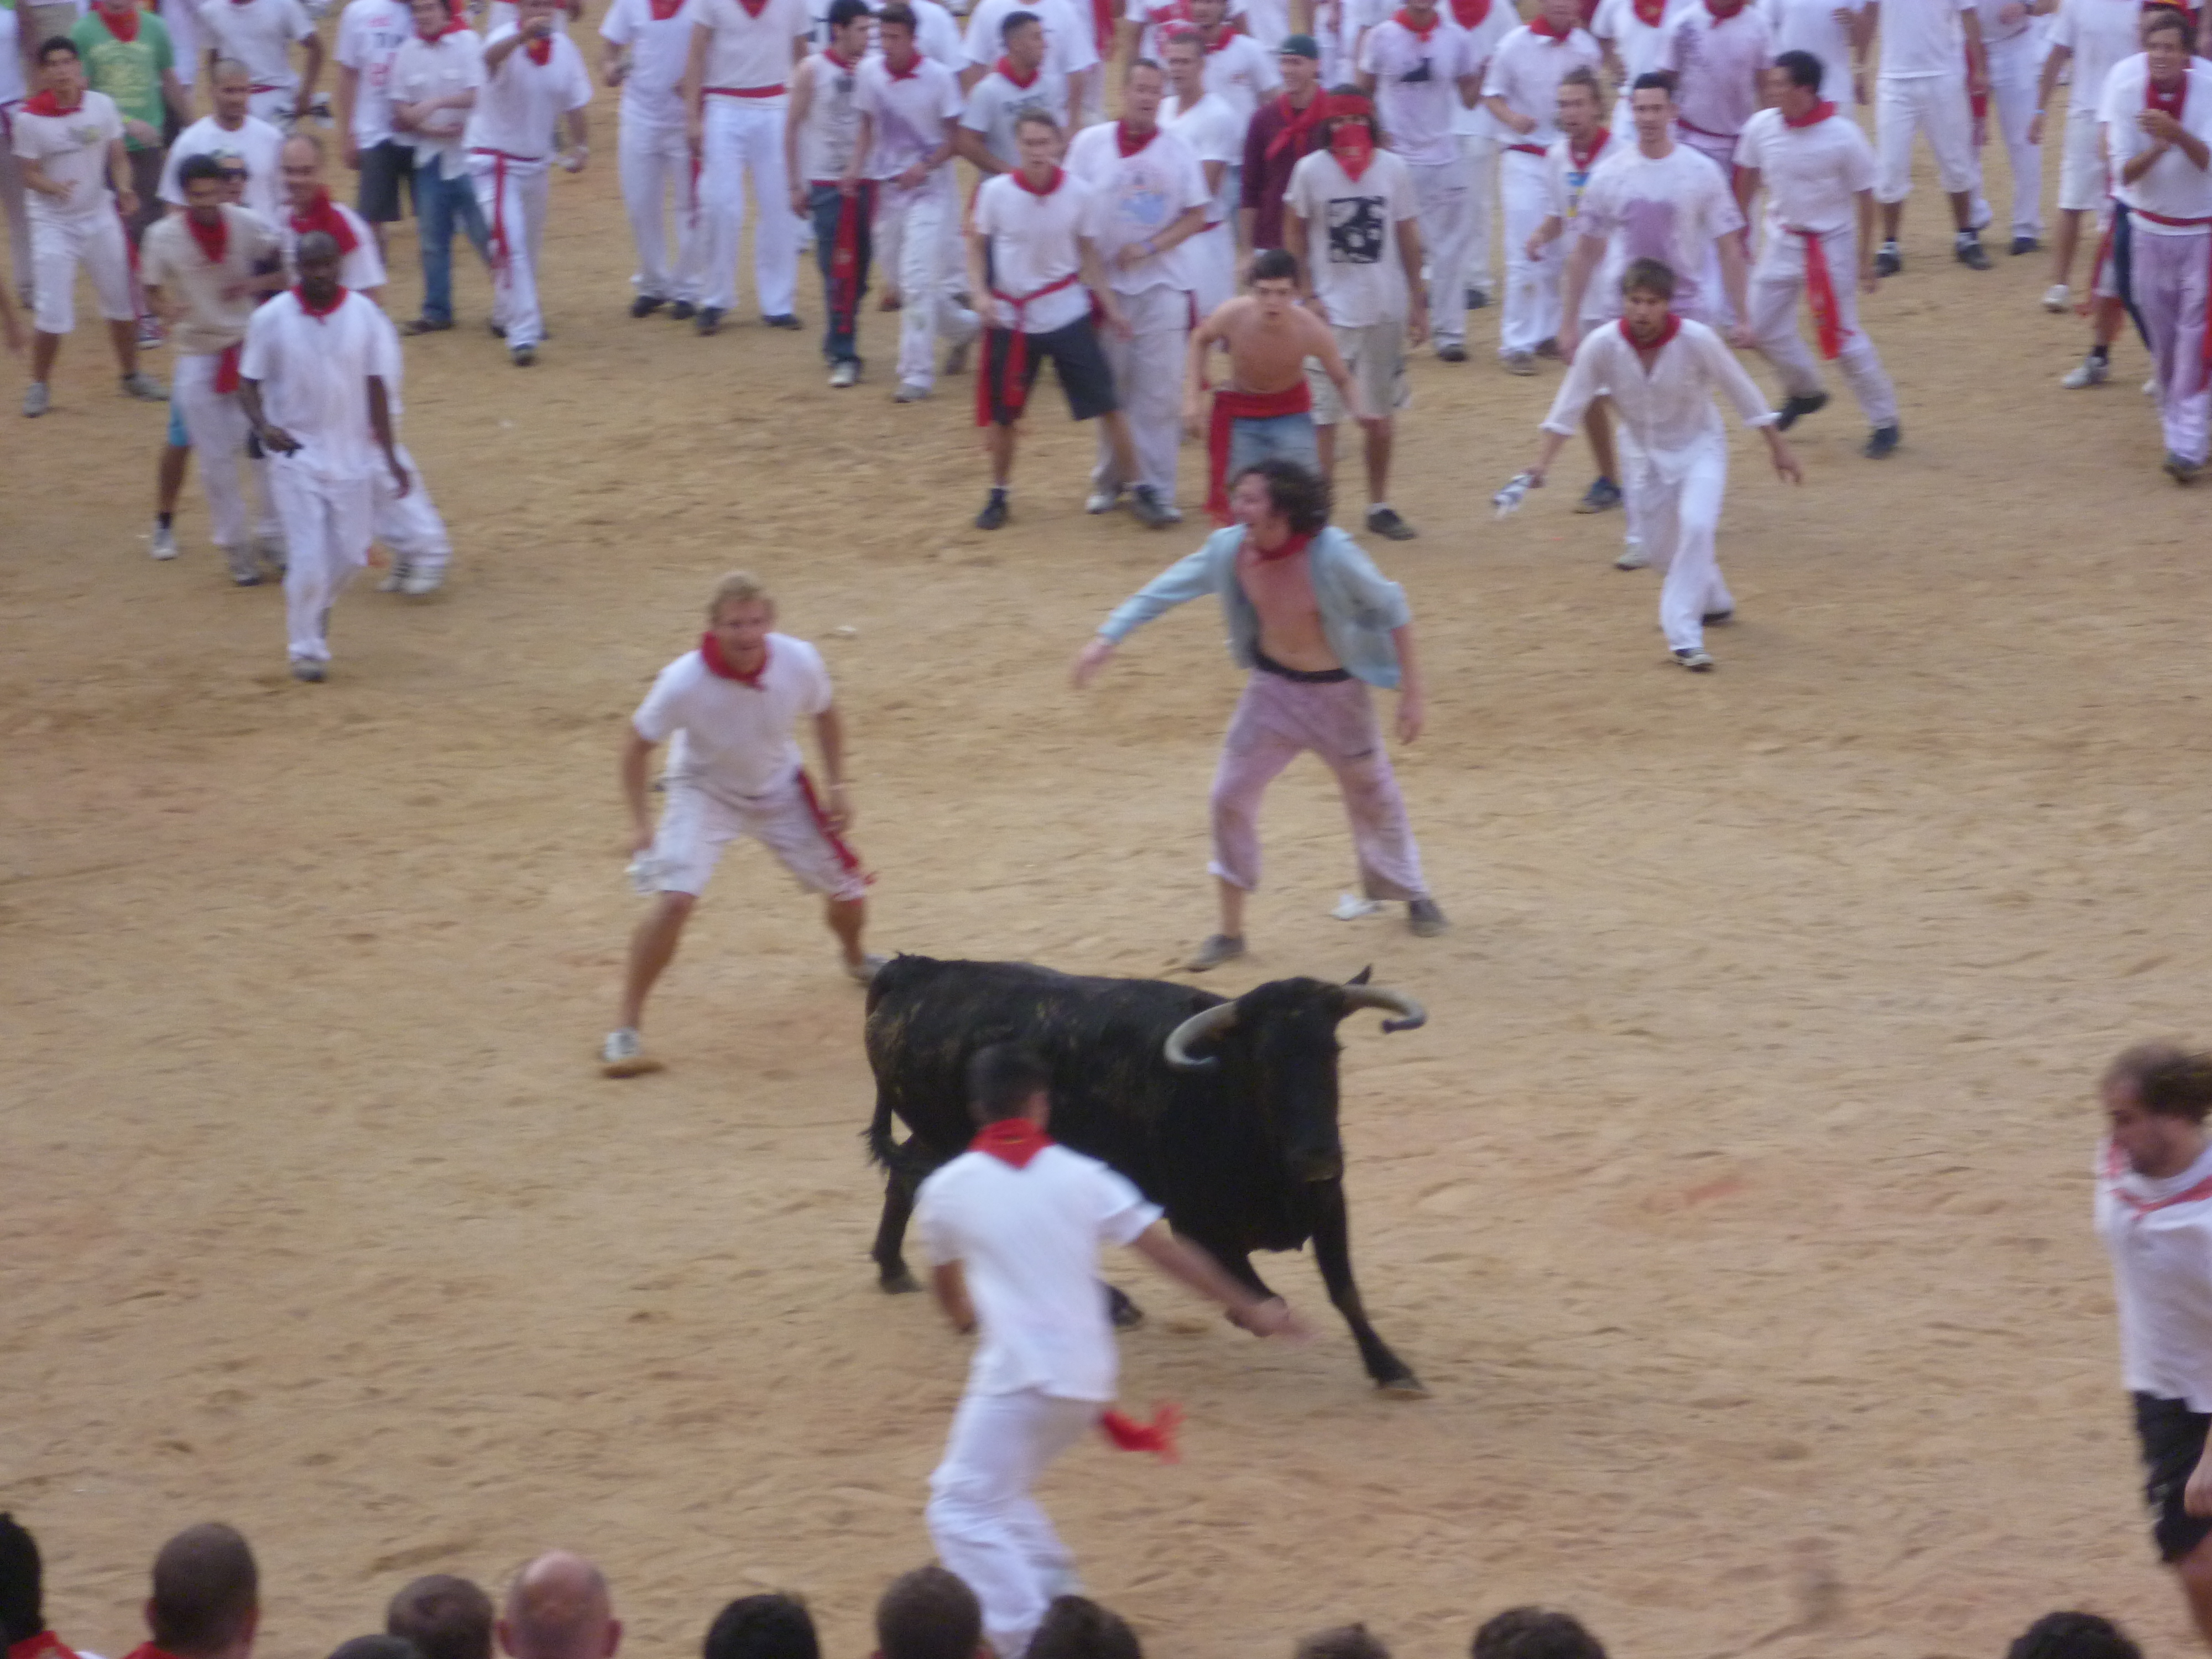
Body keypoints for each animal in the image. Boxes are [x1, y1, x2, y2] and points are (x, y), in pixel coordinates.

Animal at [862, 953, 1429, 1395]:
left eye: (1332, 1052)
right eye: (1263, 1063)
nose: (1318, 1159)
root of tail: (916, 972)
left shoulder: (1329, 1204)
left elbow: (1345, 1292)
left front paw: (1391, 1369)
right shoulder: (1199, 1229)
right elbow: (1270, 1301)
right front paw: (1244, 1313)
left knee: (907, 1178)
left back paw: (893, 1270)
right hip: (957, 1145)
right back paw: (1114, 1306)